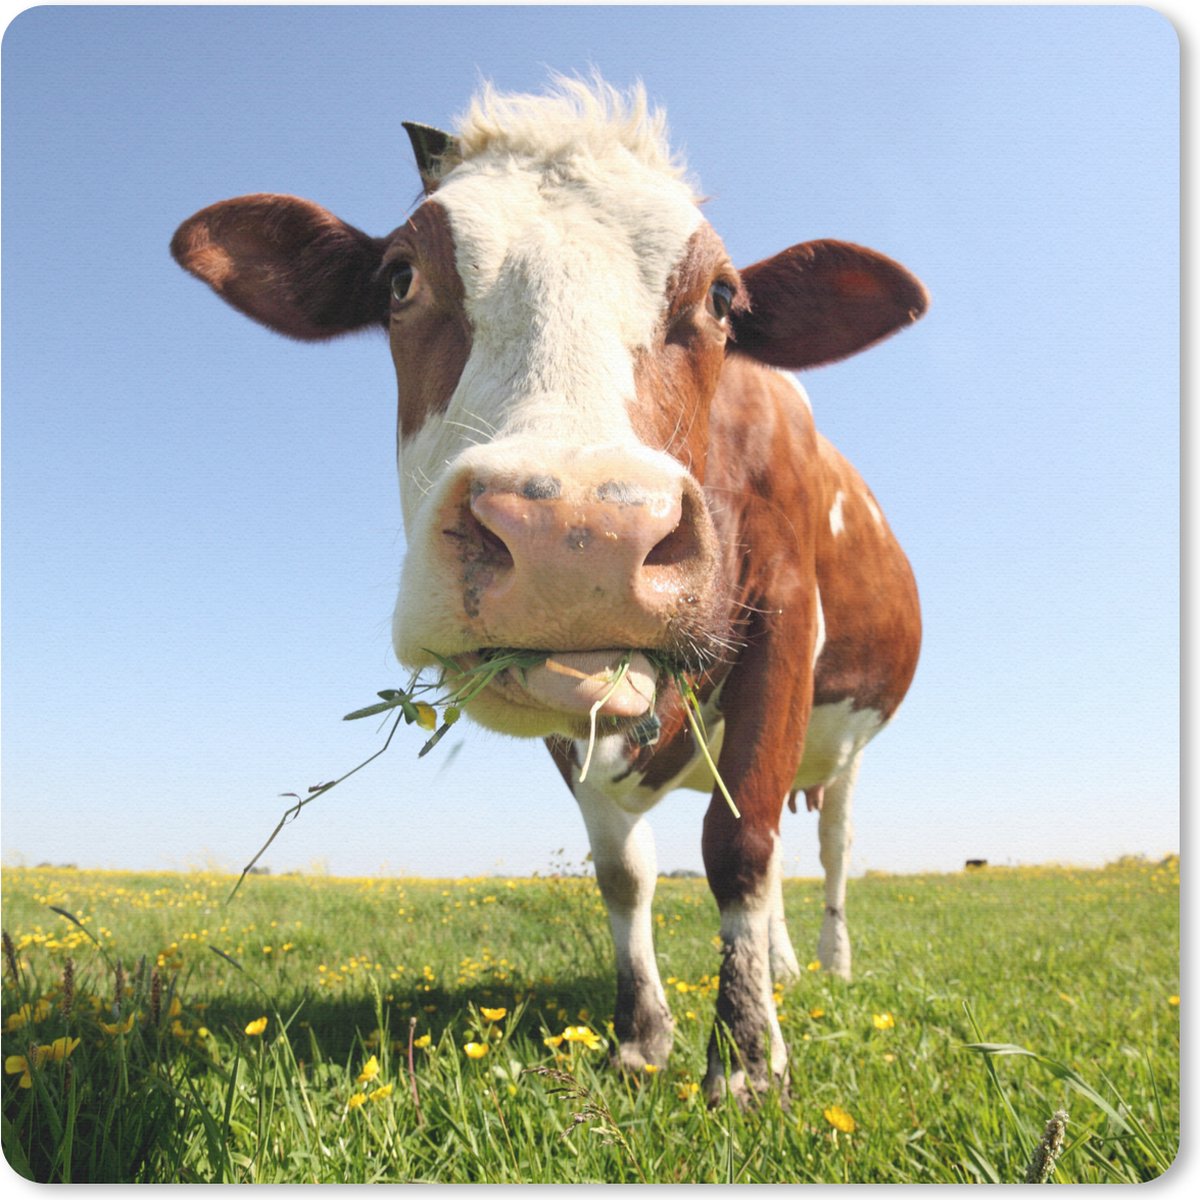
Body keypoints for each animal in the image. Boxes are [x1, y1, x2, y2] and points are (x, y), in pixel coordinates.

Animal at [172, 78, 926, 1105]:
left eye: (723, 298)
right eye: (400, 278)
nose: (577, 534)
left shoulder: (781, 622)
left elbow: (739, 848)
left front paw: (743, 1059)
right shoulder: (569, 701)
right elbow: (623, 871)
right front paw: (644, 1036)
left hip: (844, 746)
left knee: (826, 846)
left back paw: (828, 966)